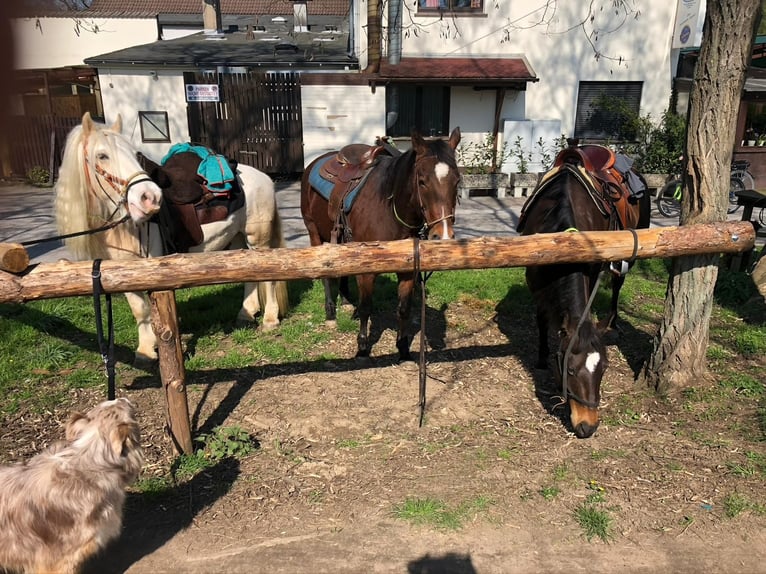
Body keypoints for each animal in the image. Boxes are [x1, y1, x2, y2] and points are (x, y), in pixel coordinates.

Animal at [57, 111, 290, 368]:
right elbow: (139, 309)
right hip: (239, 240)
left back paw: (270, 319)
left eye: (134, 154)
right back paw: (246, 314)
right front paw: (145, 351)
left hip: (257, 240)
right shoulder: (118, 273)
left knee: (268, 278)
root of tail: (264, 177)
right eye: (102, 155)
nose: (150, 198)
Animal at [302, 129, 462, 362]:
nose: (443, 236)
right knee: (325, 275)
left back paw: (346, 301)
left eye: (457, 181)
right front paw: (362, 348)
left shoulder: (407, 270)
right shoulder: (367, 271)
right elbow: (366, 307)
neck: (389, 208)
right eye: (422, 181)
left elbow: (403, 309)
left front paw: (403, 349)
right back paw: (330, 311)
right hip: (313, 232)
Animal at [520, 148, 652, 440]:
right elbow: (541, 319)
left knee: (618, 284)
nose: (587, 426)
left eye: (604, 368)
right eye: (570, 369)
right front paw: (542, 358)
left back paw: (614, 321)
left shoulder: (591, 272)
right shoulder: (535, 280)